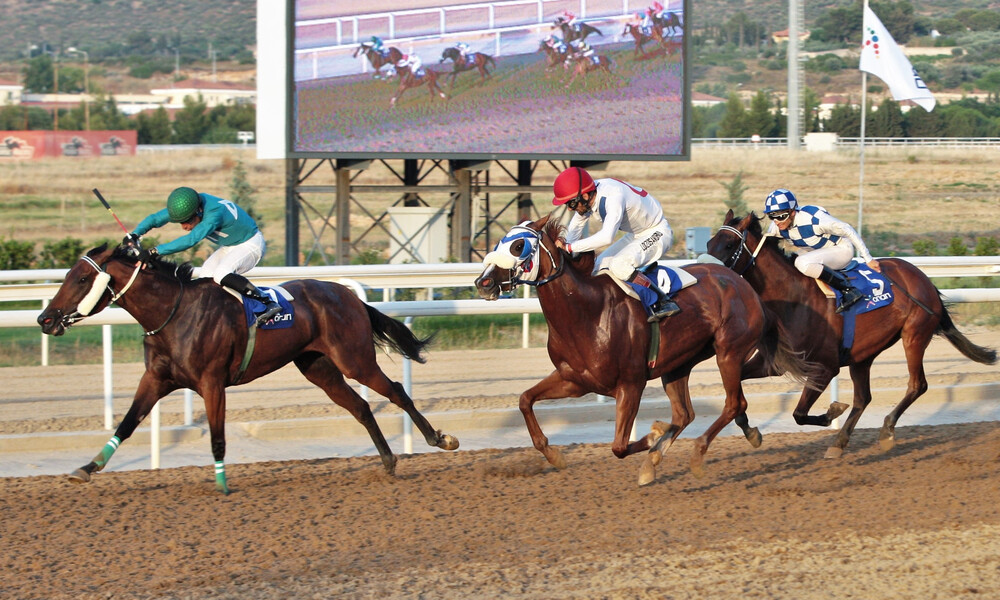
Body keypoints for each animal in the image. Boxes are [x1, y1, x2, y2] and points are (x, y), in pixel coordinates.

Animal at [37, 243, 458, 492]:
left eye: (82, 278)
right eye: (68, 275)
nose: (45, 318)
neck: (173, 312)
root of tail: (349, 295)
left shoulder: (211, 382)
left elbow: (217, 437)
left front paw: (223, 485)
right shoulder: (156, 379)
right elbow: (126, 424)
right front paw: (87, 467)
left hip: (354, 359)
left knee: (396, 392)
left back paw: (440, 439)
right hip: (318, 367)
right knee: (361, 406)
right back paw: (388, 461)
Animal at [472, 218, 816, 486]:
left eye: (518, 246)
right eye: (501, 242)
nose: (483, 282)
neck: (587, 312)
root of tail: (744, 286)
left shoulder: (631, 384)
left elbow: (619, 446)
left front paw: (652, 437)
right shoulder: (574, 380)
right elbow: (525, 399)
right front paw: (554, 455)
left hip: (728, 353)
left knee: (733, 403)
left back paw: (696, 453)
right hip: (678, 364)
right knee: (685, 413)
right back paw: (662, 456)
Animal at [708, 213, 996, 458]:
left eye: (729, 244)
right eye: (711, 243)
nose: (710, 274)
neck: (794, 299)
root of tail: (923, 279)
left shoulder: (824, 368)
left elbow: (799, 413)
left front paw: (833, 410)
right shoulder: (773, 363)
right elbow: (736, 392)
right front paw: (750, 432)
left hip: (914, 335)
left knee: (917, 385)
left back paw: (886, 430)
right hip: (863, 354)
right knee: (863, 398)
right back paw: (839, 443)